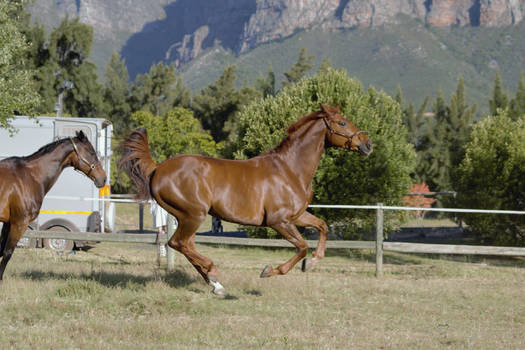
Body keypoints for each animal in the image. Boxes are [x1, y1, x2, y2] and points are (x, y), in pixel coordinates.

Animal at [0, 130, 106, 280]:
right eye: (91, 152)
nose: (103, 178)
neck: (29, 176)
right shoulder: (19, 223)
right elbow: (7, 252)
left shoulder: (8, 222)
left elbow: (1, 250)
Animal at [120, 104, 370, 296]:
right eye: (342, 123)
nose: (367, 144)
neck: (289, 169)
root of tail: (158, 168)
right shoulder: (279, 221)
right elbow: (301, 247)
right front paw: (270, 271)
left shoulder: (297, 216)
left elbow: (322, 227)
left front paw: (312, 262)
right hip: (193, 215)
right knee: (178, 243)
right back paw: (213, 272)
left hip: (187, 217)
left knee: (186, 245)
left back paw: (216, 285)